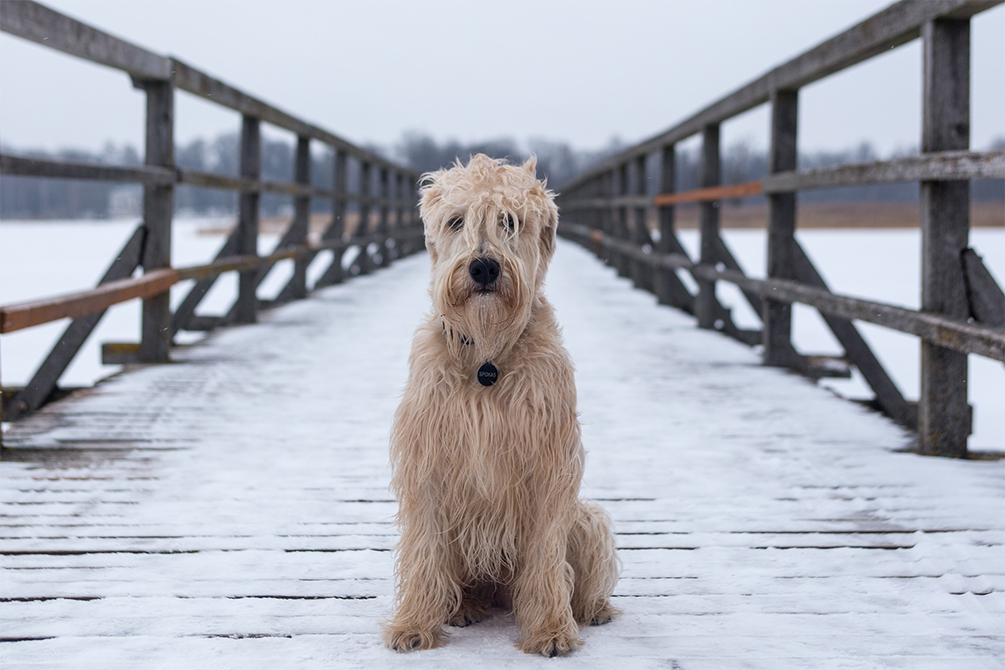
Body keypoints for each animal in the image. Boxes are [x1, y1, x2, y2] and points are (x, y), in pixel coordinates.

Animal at [383, 154, 619, 658]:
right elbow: (424, 549)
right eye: (456, 221)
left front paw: (550, 629)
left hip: (587, 518)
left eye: (509, 221)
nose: (484, 268)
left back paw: (592, 608)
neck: (486, 357)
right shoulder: (427, 461)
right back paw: (462, 606)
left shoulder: (550, 465)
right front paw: (413, 623)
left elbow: (547, 556)